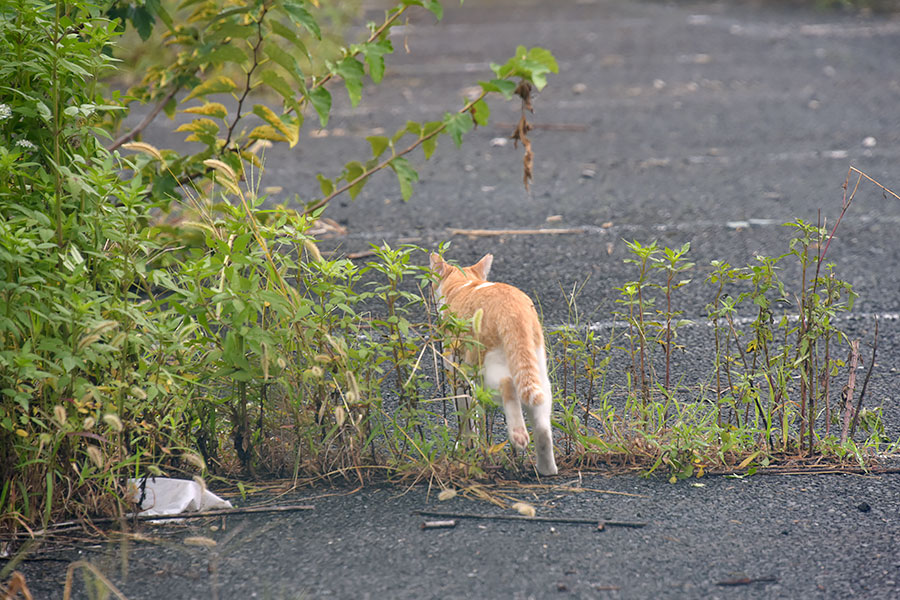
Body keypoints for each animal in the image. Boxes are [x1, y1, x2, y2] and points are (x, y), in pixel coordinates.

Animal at [428, 251, 556, 476]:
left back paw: (518, 435)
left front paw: (465, 448)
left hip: (488, 368)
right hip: (536, 367)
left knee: (508, 385)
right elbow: (477, 414)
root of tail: (514, 310)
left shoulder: (458, 373)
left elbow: (465, 416)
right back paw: (546, 468)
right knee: (541, 421)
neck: (462, 284)